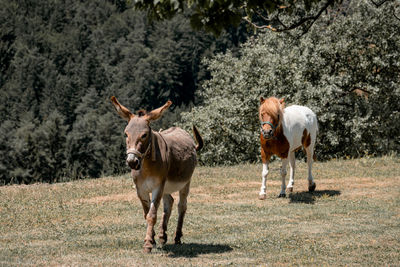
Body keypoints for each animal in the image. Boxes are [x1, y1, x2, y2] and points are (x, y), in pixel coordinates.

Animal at [111, 96, 203, 253]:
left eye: (144, 135)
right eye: (126, 134)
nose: (132, 162)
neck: (146, 167)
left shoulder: (157, 187)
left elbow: (152, 215)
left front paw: (148, 244)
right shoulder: (140, 190)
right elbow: (146, 213)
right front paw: (152, 239)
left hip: (185, 182)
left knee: (181, 206)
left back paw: (177, 237)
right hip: (166, 187)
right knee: (169, 202)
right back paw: (162, 236)